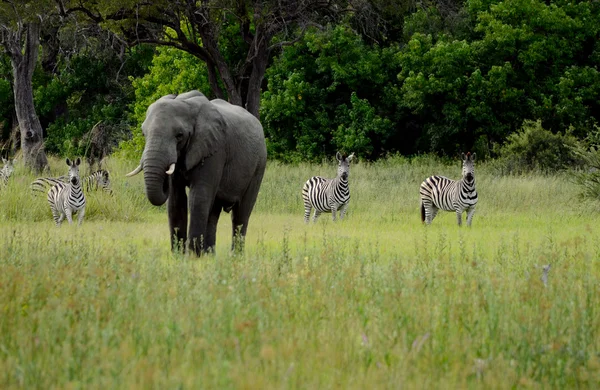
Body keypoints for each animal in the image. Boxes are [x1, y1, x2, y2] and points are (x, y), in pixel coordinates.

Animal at [126, 91, 268, 256]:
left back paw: (235, 256)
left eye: (179, 135)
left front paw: (192, 256)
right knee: (213, 212)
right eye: (144, 133)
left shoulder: (214, 149)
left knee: (241, 213)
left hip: (259, 165)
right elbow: (176, 200)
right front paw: (178, 256)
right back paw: (209, 255)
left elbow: (198, 197)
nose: (164, 180)